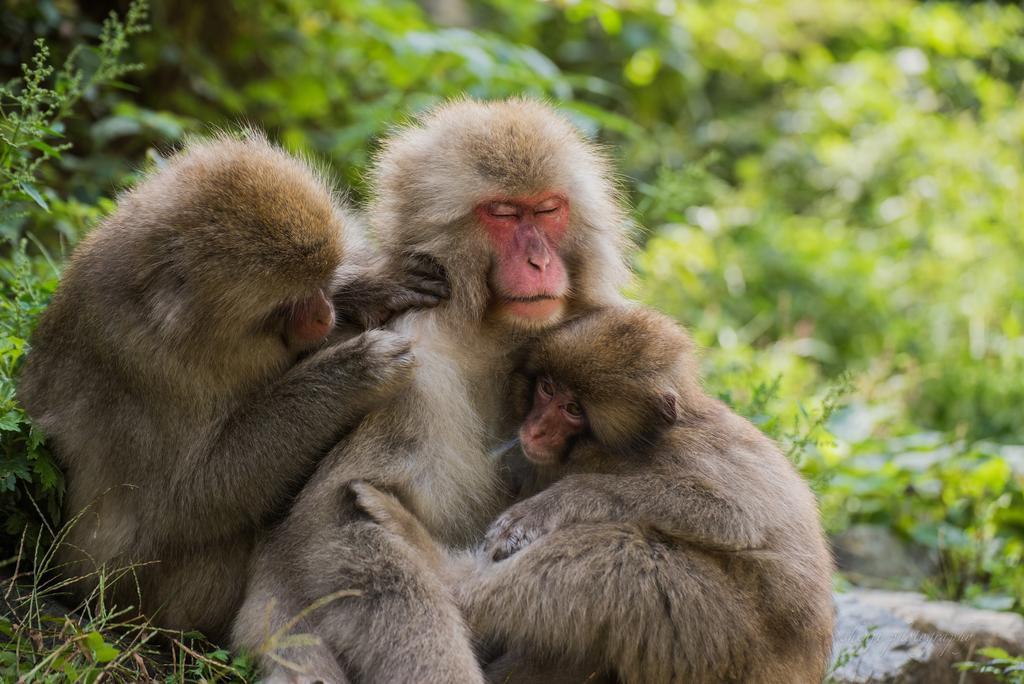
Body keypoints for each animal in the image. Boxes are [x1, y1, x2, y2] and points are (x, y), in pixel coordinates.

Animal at [12, 132, 444, 643]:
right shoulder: (149, 367)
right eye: (284, 307)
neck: (176, 327)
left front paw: (371, 286)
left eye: (320, 283)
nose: (324, 316)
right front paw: (353, 371)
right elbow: (191, 498)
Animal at [232, 100, 630, 684]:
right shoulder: (414, 363)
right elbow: (339, 523)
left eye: (548, 210)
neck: (492, 328)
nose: (539, 262)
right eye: (503, 214)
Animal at [348, 307, 835, 684]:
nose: (536, 429)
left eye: (573, 409)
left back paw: (441, 570)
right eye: (547, 388)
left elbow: (734, 514)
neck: (629, 449)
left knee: (633, 557)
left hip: (726, 642)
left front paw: (552, 504)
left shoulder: (692, 453)